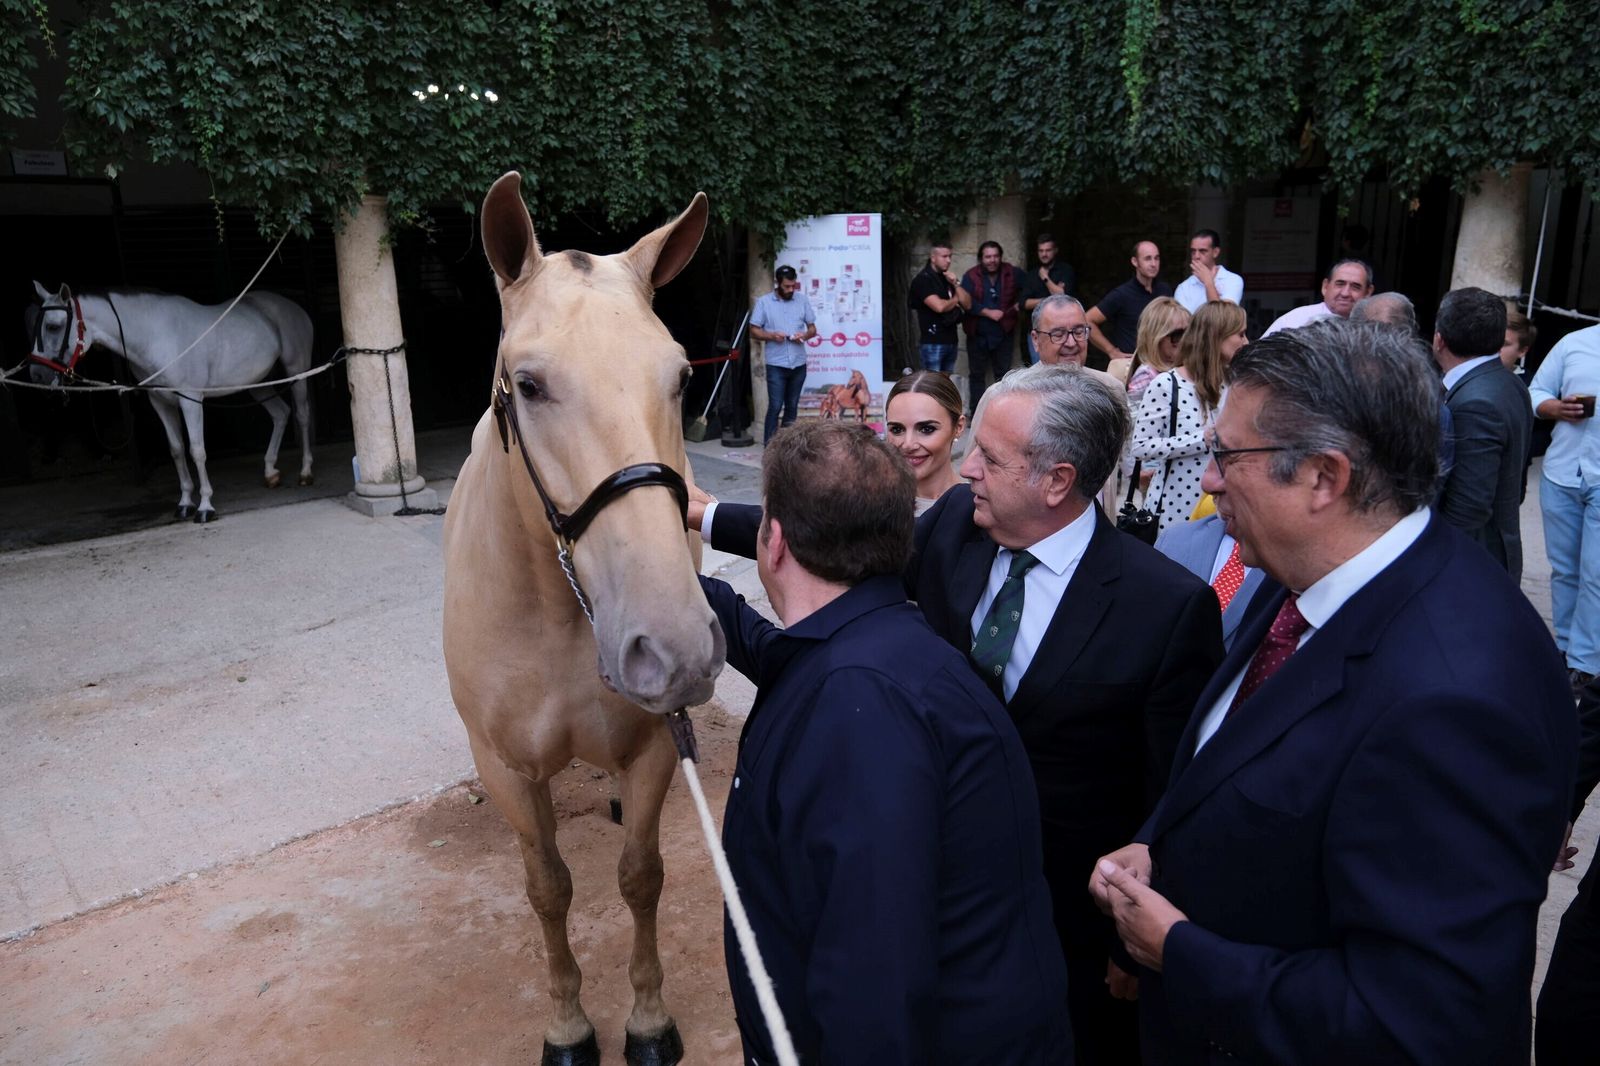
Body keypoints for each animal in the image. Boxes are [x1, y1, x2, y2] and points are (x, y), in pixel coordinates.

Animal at [27, 282, 316, 522]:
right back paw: (270, 472)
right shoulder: (160, 402)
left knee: (302, 415)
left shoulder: (191, 400)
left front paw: (205, 507)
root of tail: (294, 307)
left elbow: (197, 450)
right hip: (258, 383)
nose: (37, 375)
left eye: (53, 326)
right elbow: (176, 450)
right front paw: (185, 503)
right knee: (281, 414)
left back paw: (305, 472)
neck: (158, 336)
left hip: (297, 372)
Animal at [441, 172, 725, 1066]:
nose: (673, 648)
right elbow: (548, 888)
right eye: (528, 385)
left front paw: (649, 1020)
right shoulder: (505, 767)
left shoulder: (652, 748)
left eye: (680, 376)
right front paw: (567, 1026)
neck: (559, 612)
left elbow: (641, 876)